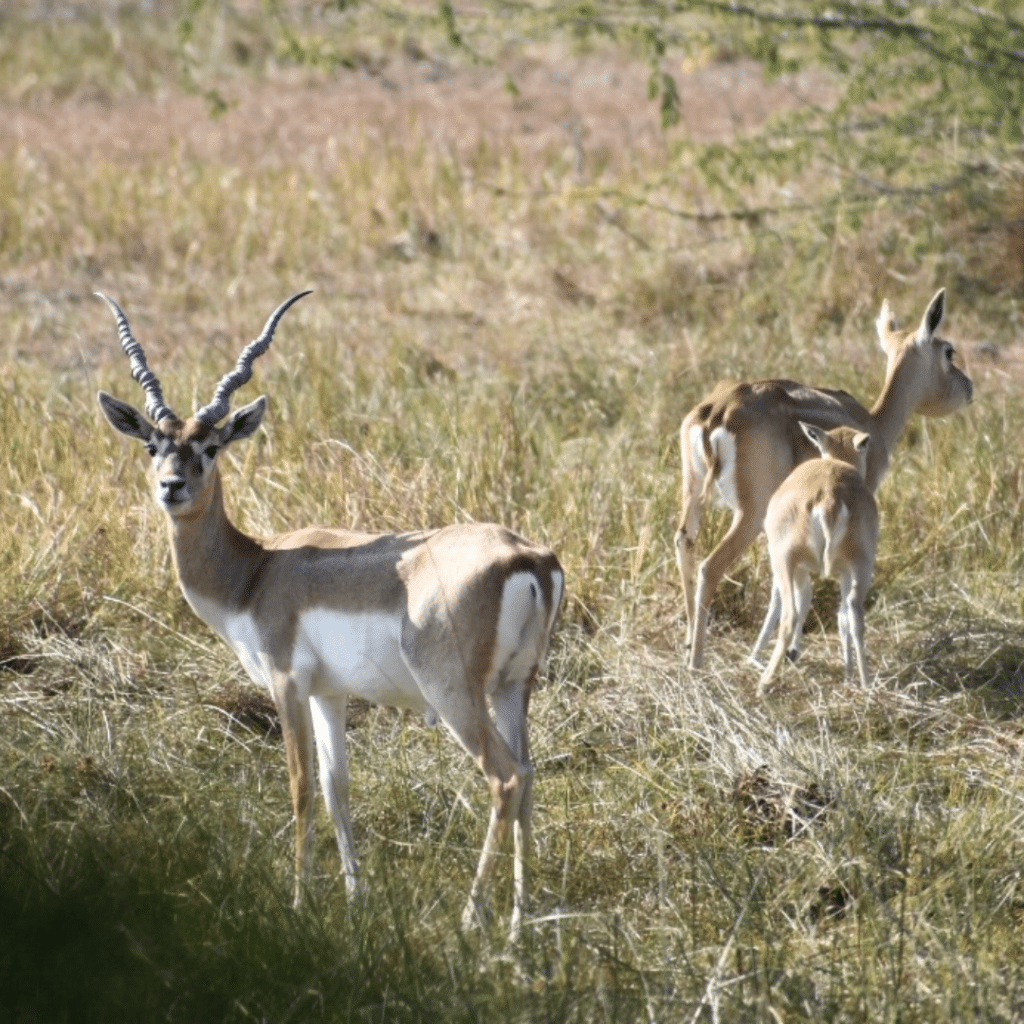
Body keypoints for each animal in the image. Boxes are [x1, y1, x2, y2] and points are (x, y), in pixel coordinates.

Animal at [94, 292, 569, 937]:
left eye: (211, 448)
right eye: (153, 446)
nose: (171, 487)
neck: (256, 571)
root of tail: (529, 557)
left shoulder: (287, 683)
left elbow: (300, 788)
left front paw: (299, 904)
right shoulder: (330, 693)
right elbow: (336, 786)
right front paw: (355, 897)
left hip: (455, 694)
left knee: (506, 777)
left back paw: (471, 918)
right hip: (515, 687)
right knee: (530, 775)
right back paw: (520, 926)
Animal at [753, 421, 880, 696]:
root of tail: (830, 495)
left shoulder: (793, 567)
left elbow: (788, 600)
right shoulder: (844, 571)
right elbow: (841, 617)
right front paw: (847, 673)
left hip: (785, 561)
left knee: (789, 616)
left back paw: (764, 682)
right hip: (861, 566)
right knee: (853, 613)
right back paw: (864, 683)